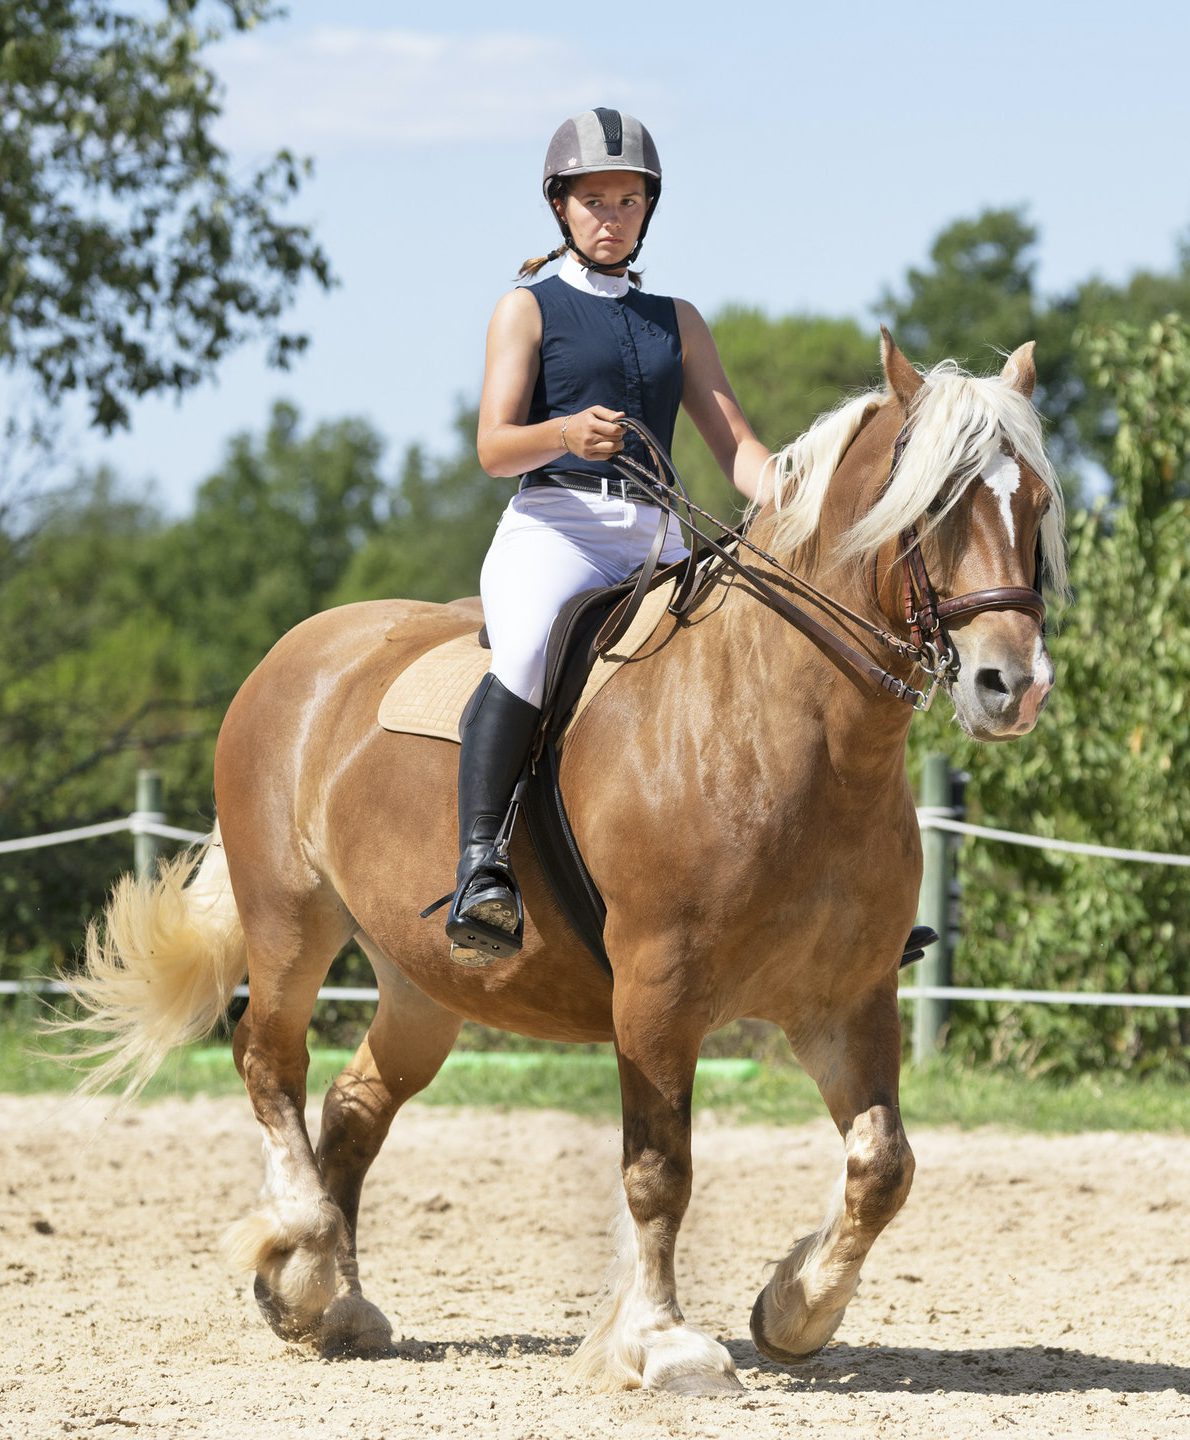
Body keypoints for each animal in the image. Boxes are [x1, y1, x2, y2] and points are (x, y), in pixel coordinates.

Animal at [67, 330, 1066, 1394]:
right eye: (939, 501)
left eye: (1037, 504)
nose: (1012, 684)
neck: (788, 732)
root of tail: (297, 652)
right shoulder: (658, 993)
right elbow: (659, 1172)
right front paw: (664, 1340)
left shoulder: (848, 998)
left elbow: (883, 1167)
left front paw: (796, 1310)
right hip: (290, 919)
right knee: (270, 1059)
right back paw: (297, 1241)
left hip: (425, 981)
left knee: (357, 1101)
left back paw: (322, 1296)